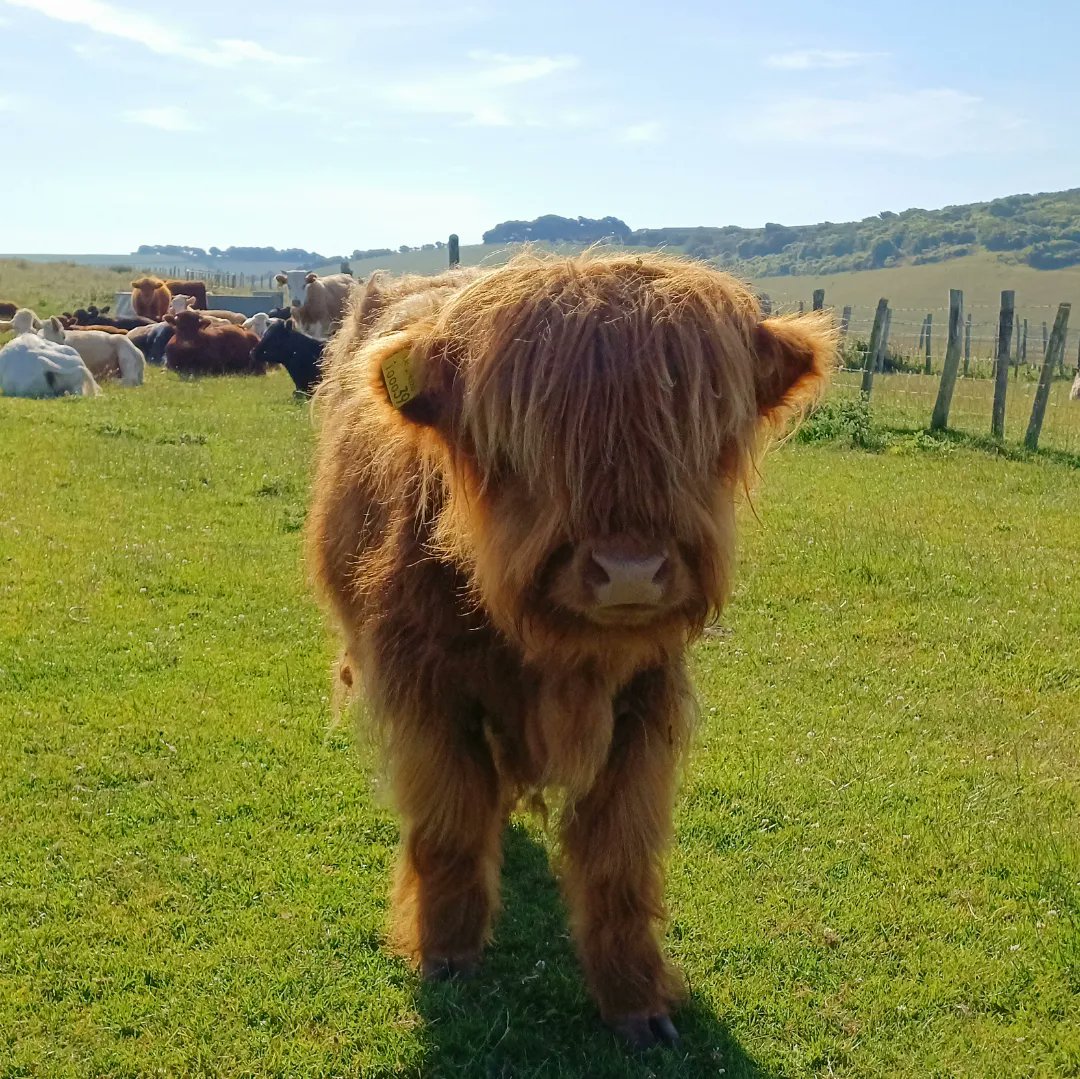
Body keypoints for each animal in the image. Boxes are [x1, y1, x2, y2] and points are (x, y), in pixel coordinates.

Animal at [304, 252, 836, 1050]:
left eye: (699, 433)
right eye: (526, 445)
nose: (630, 570)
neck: (561, 662)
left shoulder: (646, 705)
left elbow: (620, 858)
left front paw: (636, 1000)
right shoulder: (426, 691)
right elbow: (449, 821)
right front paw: (448, 954)